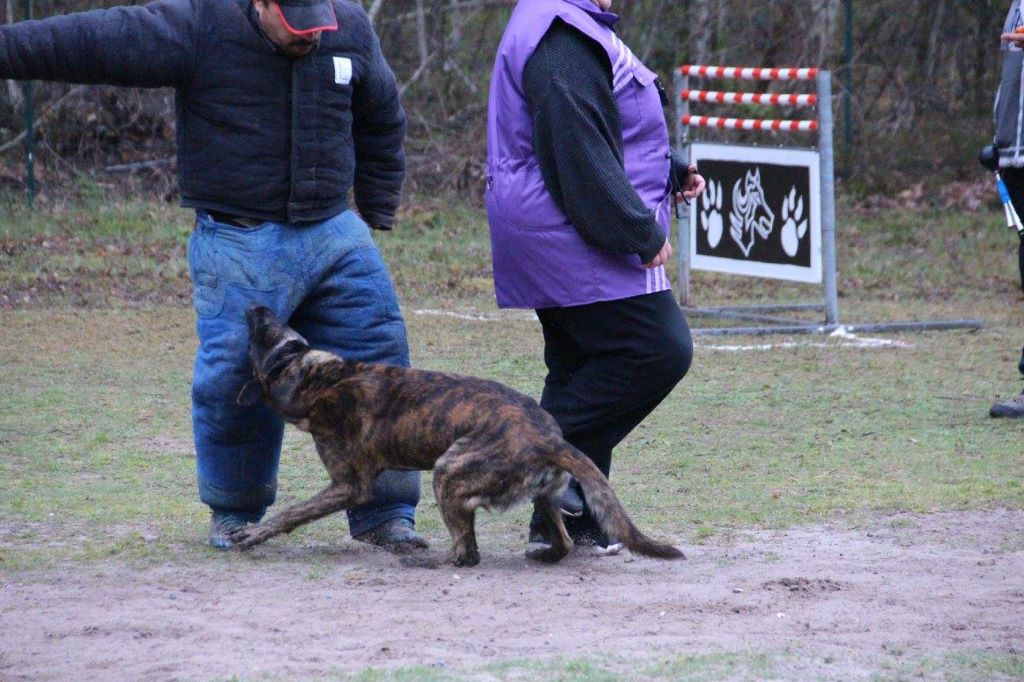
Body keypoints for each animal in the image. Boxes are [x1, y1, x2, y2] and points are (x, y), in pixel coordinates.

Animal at [231, 305, 679, 565]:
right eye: (272, 325)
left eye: (262, 330)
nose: (255, 306)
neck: (319, 378)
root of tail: (551, 439)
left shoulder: (348, 486)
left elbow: (291, 513)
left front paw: (253, 534)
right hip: (540, 492)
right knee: (562, 541)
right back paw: (549, 553)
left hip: (447, 471)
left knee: (468, 552)